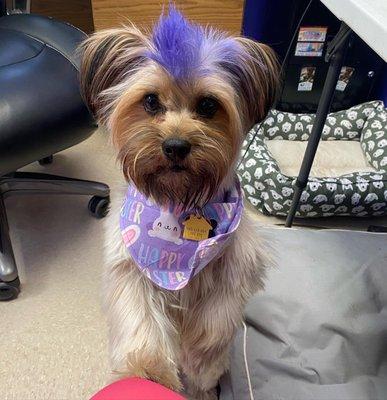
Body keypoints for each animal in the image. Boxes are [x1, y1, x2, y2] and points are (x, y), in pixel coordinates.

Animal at [80, 6, 278, 400]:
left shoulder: (236, 267)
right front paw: (149, 371)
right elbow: (141, 321)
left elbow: (214, 323)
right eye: (151, 101)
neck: (180, 200)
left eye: (208, 105)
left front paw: (200, 361)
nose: (175, 146)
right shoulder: (132, 269)